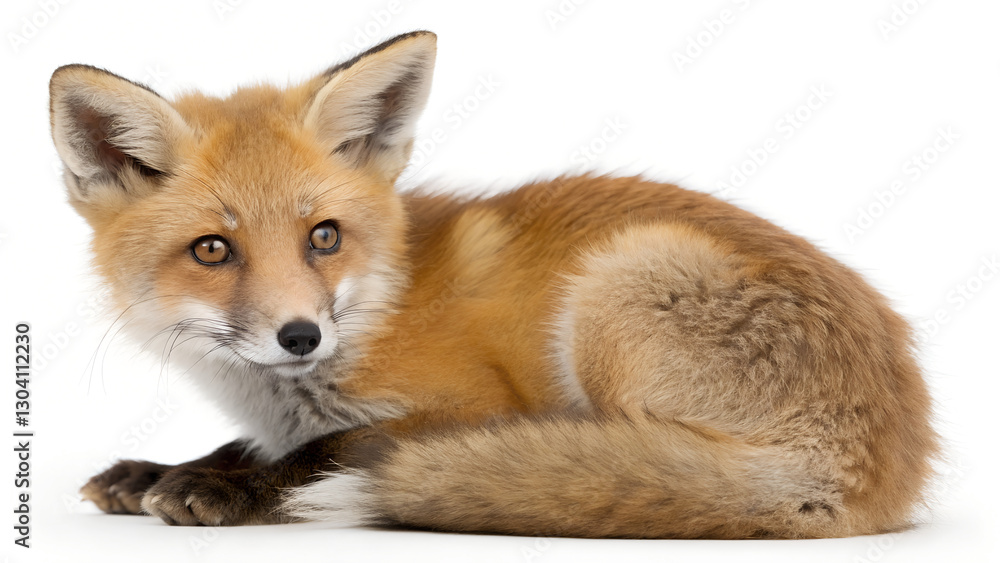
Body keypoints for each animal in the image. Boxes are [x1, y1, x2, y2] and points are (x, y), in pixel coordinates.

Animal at [48, 30, 936, 538]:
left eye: (322, 237)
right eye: (213, 249)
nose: (300, 335)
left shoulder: (470, 404)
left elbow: (324, 448)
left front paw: (221, 486)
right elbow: (253, 443)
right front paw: (154, 472)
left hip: (619, 282)